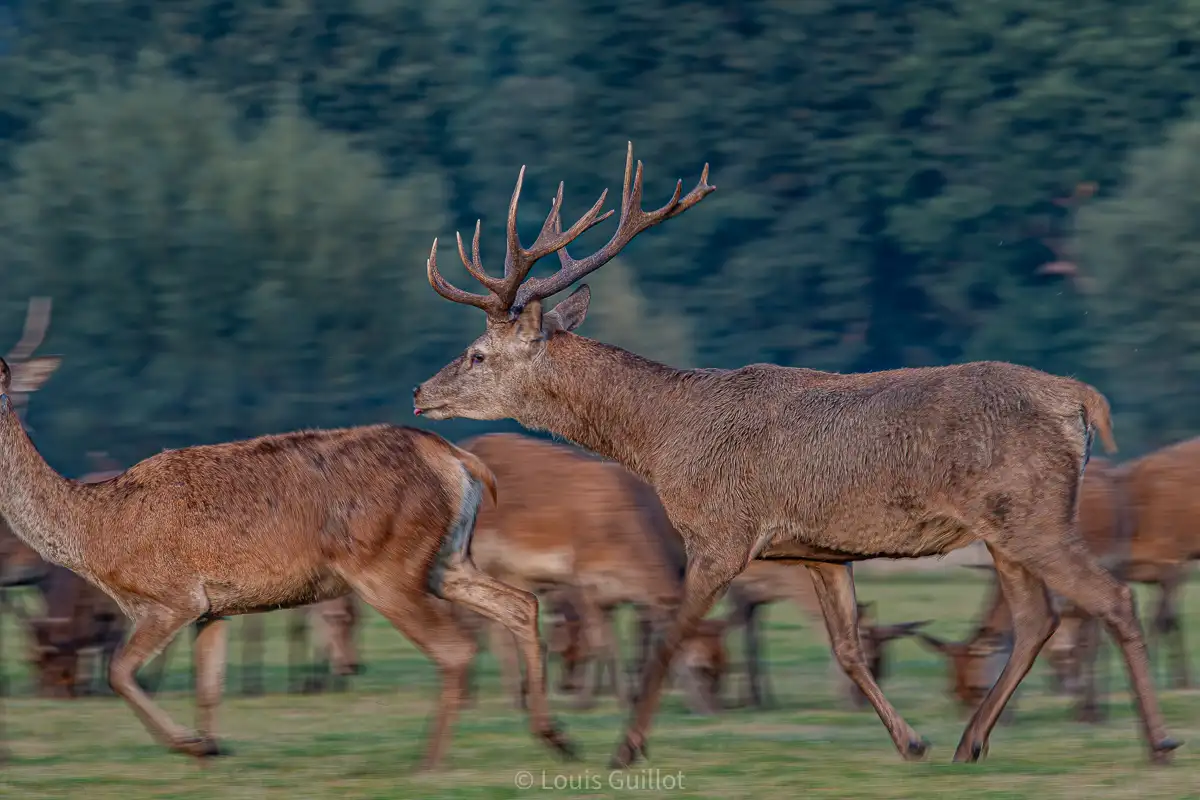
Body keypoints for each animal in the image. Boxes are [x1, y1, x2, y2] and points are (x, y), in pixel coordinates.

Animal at [0, 300, 574, 770]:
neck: (97, 535)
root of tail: (458, 459)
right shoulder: (214, 607)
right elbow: (209, 689)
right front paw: (210, 749)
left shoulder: (172, 596)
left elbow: (120, 672)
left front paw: (191, 745)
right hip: (446, 559)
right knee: (519, 604)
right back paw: (552, 735)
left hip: (385, 566)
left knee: (455, 648)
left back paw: (428, 763)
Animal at [412, 141, 1179, 767]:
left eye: (477, 354)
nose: (421, 391)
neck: (661, 441)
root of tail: (1081, 399)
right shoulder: (819, 549)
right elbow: (847, 648)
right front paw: (911, 741)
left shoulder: (721, 533)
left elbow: (672, 637)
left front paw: (624, 750)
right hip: (1003, 530)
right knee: (1037, 620)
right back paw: (970, 742)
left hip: (1033, 511)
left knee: (1109, 598)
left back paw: (1159, 740)